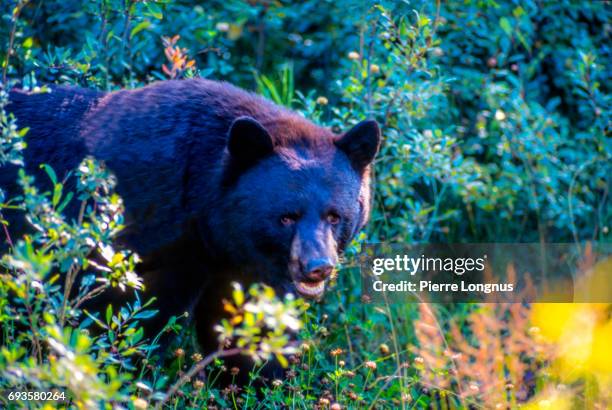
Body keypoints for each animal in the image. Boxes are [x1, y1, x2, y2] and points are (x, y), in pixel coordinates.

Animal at [2, 79, 380, 362]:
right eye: (286, 216)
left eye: (335, 216)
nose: (318, 267)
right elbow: (113, 322)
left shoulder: (238, 266)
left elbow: (252, 330)